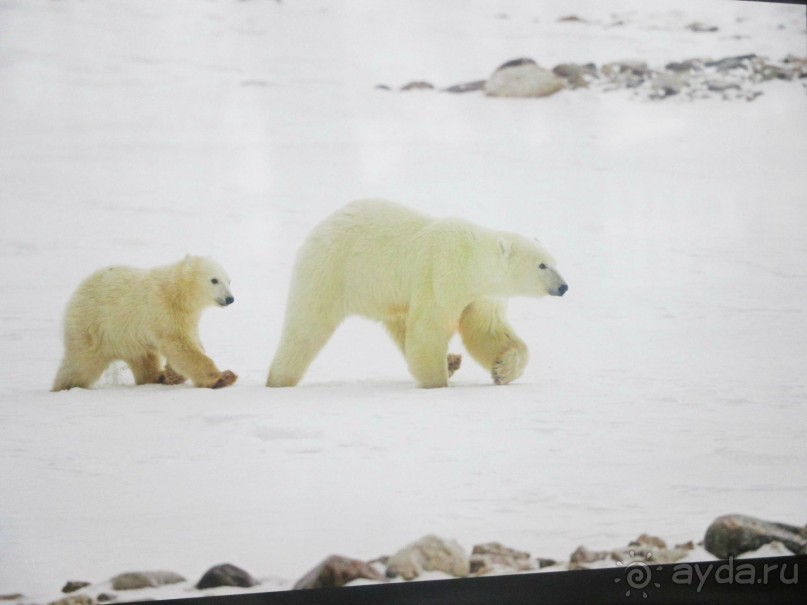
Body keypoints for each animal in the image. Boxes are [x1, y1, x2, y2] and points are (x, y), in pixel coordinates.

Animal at [266, 198, 568, 386]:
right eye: (542, 265)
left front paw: (502, 369)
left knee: (400, 323)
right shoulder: (442, 274)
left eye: (555, 261)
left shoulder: (482, 296)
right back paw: (278, 379)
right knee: (306, 327)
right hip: (332, 272)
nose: (564, 286)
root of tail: (318, 229)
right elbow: (429, 327)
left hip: (383, 292)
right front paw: (437, 383)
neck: (473, 259)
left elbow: (486, 331)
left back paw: (451, 362)